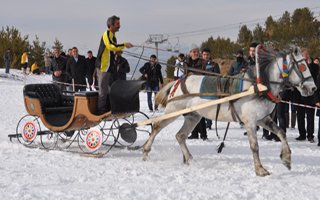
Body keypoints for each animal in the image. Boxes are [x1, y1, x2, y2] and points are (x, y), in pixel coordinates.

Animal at [143, 44, 318, 176]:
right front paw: (260, 169)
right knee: (157, 127)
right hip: (173, 110)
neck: (258, 86)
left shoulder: (263, 119)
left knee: (180, 136)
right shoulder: (250, 121)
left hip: (193, 116)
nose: (313, 88)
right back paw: (145, 151)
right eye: (302, 66)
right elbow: (255, 146)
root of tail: (178, 81)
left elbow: (281, 132)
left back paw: (190, 159)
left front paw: (286, 159)